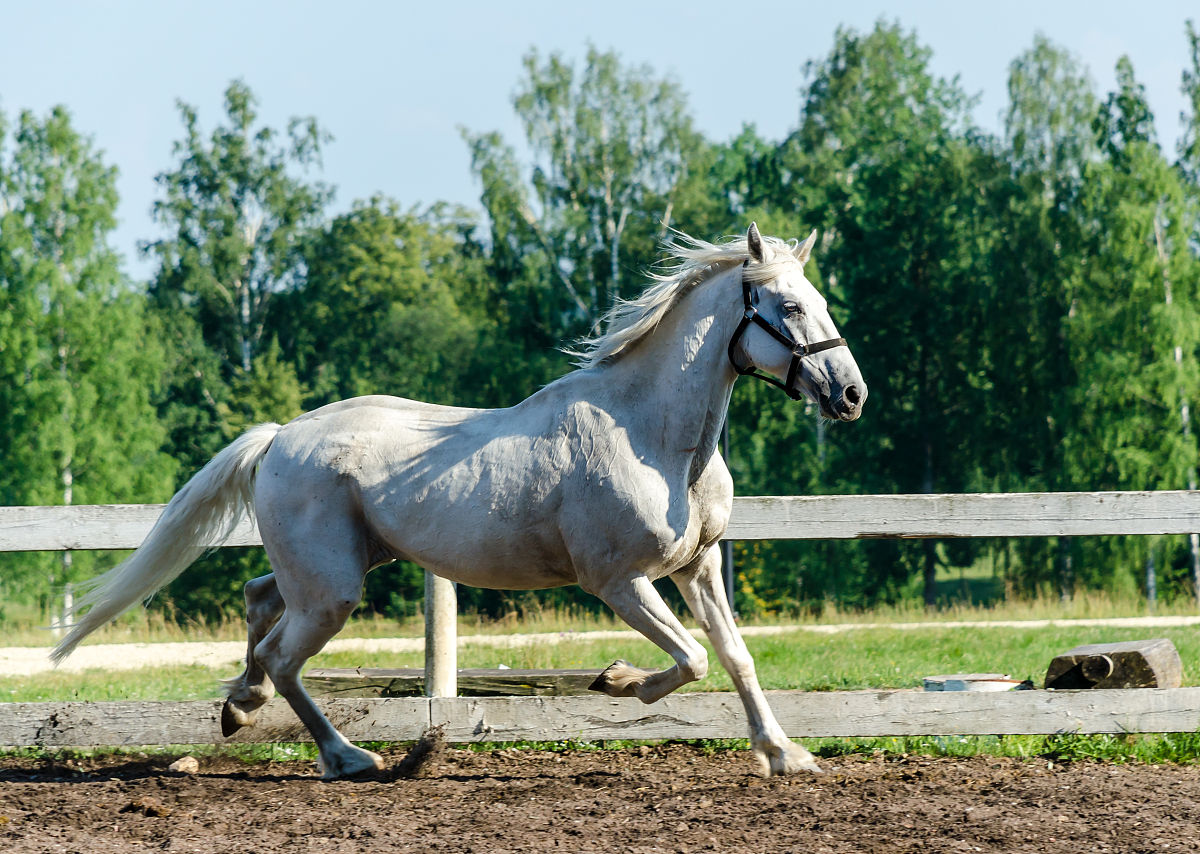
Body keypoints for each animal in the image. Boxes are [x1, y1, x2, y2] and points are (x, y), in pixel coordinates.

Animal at [52, 223, 867, 779]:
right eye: (788, 306)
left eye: (821, 301)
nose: (851, 394)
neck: (652, 437)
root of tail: (281, 435)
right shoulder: (618, 581)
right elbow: (692, 660)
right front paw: (617, 680)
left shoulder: (695, 568)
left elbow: (734, 656)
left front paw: (785, 754)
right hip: (334, 589)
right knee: (285, 656)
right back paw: (349, 757)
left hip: (338, 568)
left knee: (259, 604)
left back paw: (238, 705)